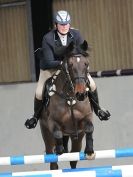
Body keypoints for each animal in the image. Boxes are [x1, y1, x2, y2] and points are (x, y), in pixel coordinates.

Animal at [39, 40, 95, 170]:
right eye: (70, 65)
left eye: (86, 64)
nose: (81, 94)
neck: (70, 97)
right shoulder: (52, 121)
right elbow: (57, 133)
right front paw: (60, 150)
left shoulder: (85, 118)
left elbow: (90, 128)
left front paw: (90, 151)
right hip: (46, 133)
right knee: (52, 161)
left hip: (77, 138)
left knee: (73, 158)